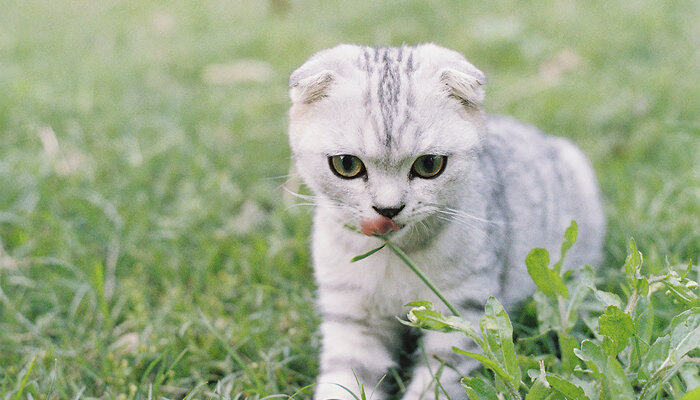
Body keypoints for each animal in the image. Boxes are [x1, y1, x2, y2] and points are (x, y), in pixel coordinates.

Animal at [288, 44, 604, 400]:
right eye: (346, 164)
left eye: (429, 165)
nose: (388, 209)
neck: (395, 257)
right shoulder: (351, 318)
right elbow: (346, 380)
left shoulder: (461, 314)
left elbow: (439, 380)